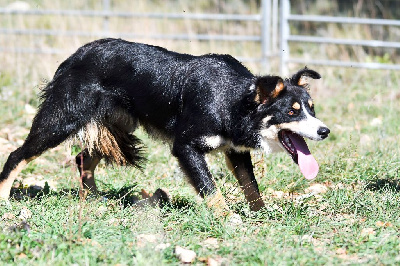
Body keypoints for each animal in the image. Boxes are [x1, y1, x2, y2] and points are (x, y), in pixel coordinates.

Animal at [0, 38, 330, 216]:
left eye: (312, 108)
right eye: (292, 112)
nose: (324, 131)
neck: (234, 99)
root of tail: (73, 57)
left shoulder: (235, 151)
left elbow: (251, 185)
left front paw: (261, 214)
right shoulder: (185, 146)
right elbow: (210, 188)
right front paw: (227, 218)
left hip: (119, 124)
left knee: (84, 158)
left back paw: (94, 199)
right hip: (62, 119)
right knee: (18, 154)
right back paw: (4, 196)